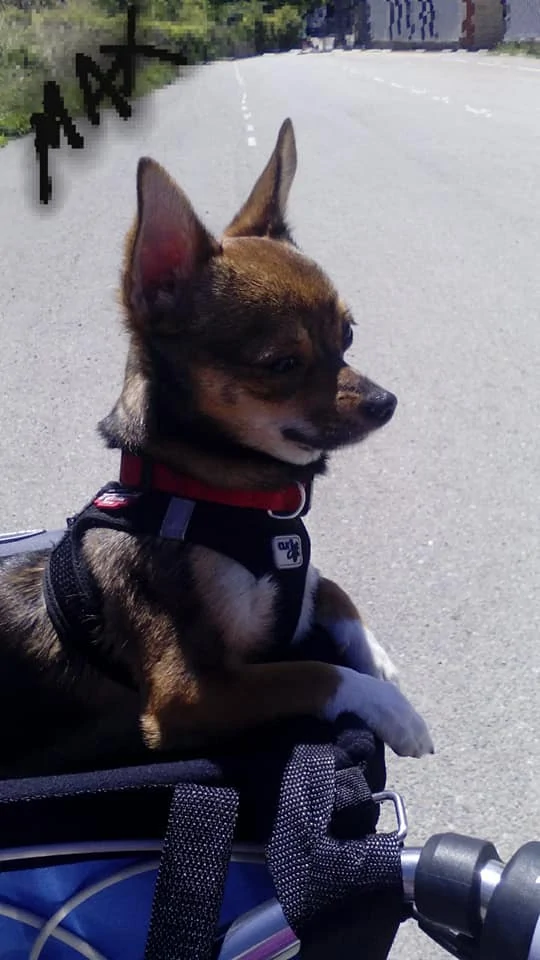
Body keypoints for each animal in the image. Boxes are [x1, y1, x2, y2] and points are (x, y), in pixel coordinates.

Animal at [0, 119, 433, 777]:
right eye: (281, 365)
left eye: (348, 335)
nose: (386, 402)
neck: (231, 502)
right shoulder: (192, 695)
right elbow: (312, 670)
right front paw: (394, 708)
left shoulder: (299, 598)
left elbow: (331, 589)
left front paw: (379, 659)